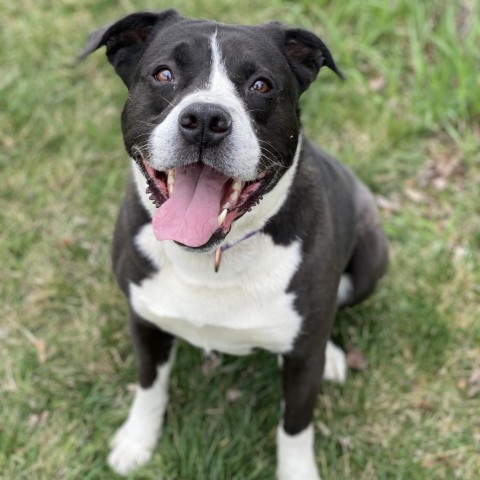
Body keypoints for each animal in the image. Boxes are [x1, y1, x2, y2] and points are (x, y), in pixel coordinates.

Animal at [80, 9, 388, 478]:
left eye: (261, 85)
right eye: (163, 74)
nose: (206, 119)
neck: (212, 255)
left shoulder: (303, 363)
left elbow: (295, 427)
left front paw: (298, 471)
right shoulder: (145, 320)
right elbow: (150, 385)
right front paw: (137, 441)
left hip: (372, 256)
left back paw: (334, 355)